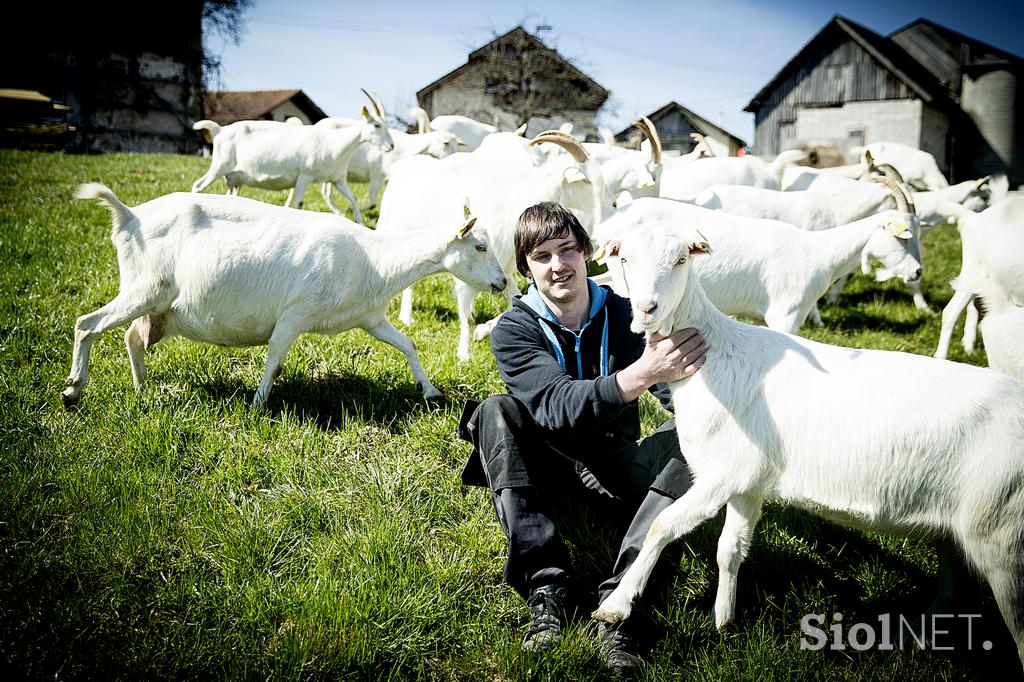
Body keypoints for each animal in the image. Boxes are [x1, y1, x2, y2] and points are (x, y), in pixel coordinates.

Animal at [62, 183, 503, 409]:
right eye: (479, 246)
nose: (501, 283)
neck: (373, 259)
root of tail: (128, 214)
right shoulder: (295, 314)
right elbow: (274, 359)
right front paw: (258, 405)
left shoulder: (370, 319)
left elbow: (408, 345)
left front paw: (430, 392)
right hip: (144, 288)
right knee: (87, 324)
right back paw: (72, 391)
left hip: (157, 305)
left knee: (132, 338)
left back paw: (142, 390)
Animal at [589, 222, 1024, 663]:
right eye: (625, 258)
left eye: (681, 260)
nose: (647, 308)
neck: (714, 357)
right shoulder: (747, 481)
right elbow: (730, 550)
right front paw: (724, 622)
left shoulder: (721, 474)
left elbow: (662, 526)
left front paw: (615, 607)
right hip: (959, 532)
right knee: (953, 591)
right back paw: (910, 637)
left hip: (1003, 534)